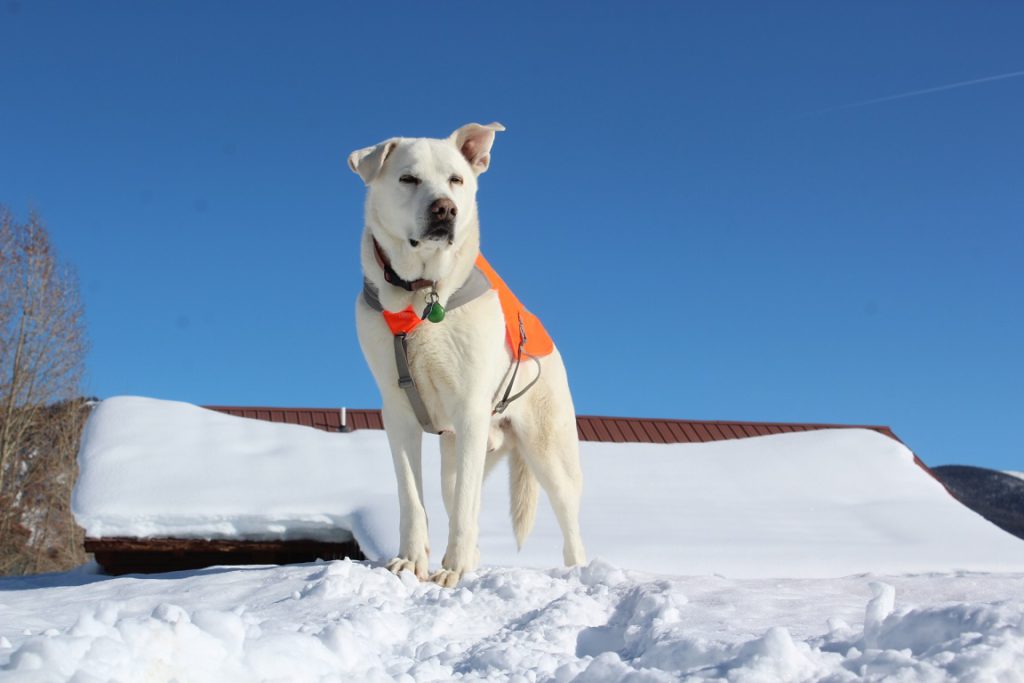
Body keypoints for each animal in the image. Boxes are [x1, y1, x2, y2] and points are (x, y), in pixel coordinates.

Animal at [348, 122, 585, 589]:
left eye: (456, 180)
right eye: (408, 179)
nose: (445, 210)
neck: (420, 295)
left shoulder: (472, 408)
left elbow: (463, 510)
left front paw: (452, 571)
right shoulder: (397, 413)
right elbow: (411, 498)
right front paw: (410, 563)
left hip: (548, 451)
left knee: (567, 521)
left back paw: (577, 571)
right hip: (457, 458)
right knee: (458, 497)